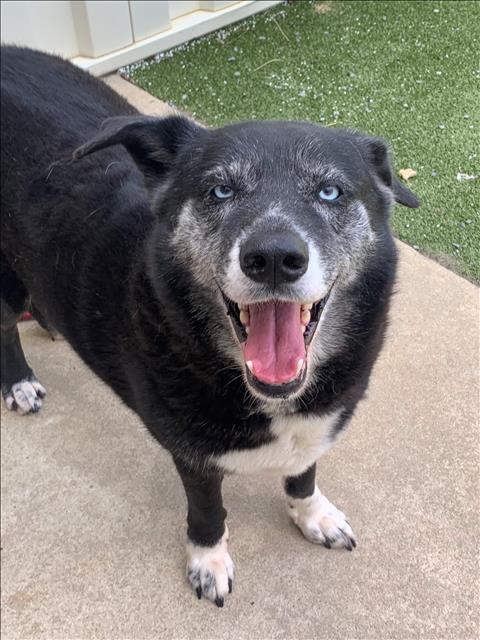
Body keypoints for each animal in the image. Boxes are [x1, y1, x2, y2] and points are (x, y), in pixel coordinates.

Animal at [0, 46, 418, 604]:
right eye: (219, 189)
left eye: (331, 192)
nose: (274, 258)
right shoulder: (191, 456)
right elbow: (207, 511)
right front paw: (208, 560)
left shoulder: (314, 426)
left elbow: (302, 473)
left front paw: (313, 515)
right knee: (5, 326)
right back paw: (19, 382)